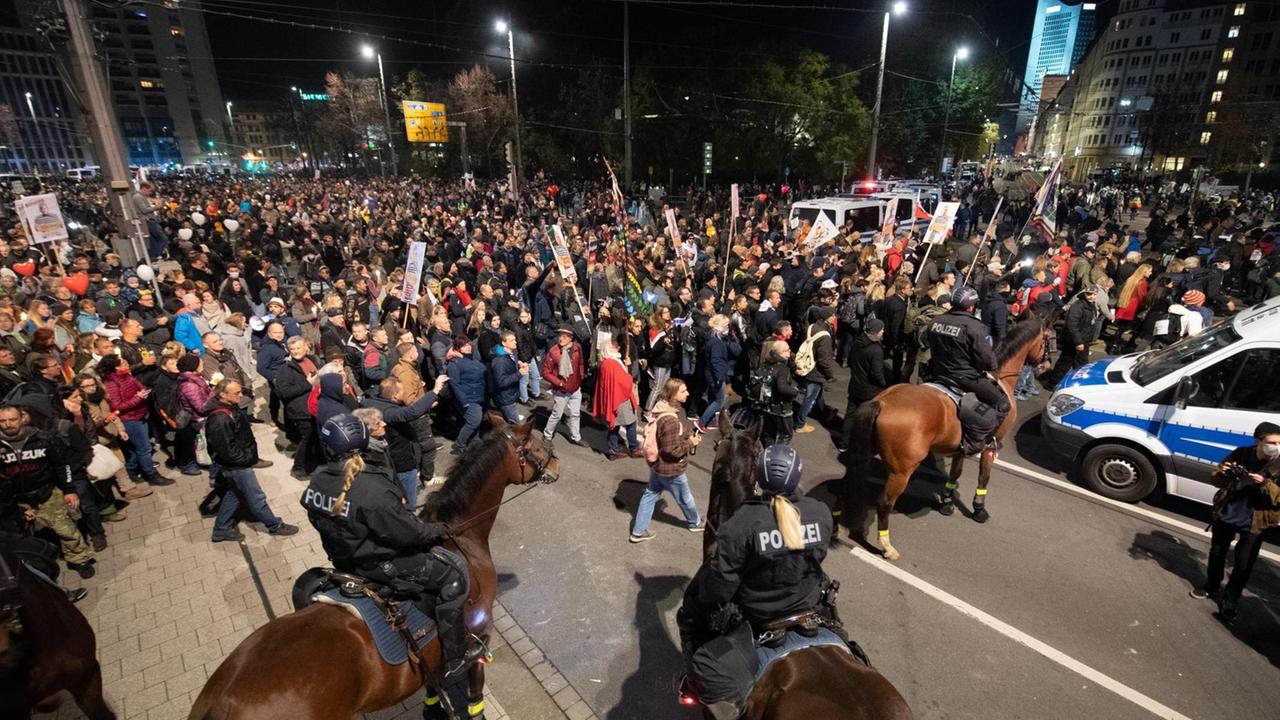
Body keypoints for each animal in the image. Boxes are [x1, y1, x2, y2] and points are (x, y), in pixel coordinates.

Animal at [186, 415, 558, 717]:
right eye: (538, 444)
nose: (556, 465)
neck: (461, 538)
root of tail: (221, 704)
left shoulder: (430, 655)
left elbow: (433, 687)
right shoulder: (479, 638)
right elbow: (473, 695)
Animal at [844, 316, 1044, 558]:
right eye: (1045, 340)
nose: (1044, 364)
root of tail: (882, 402)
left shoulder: (960, 448)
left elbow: (955, 474)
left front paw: (947, 503)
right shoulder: (991, 446)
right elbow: (983, 477)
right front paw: (979, 509)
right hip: (902, 471)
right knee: (884, 503)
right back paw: (887, 547)